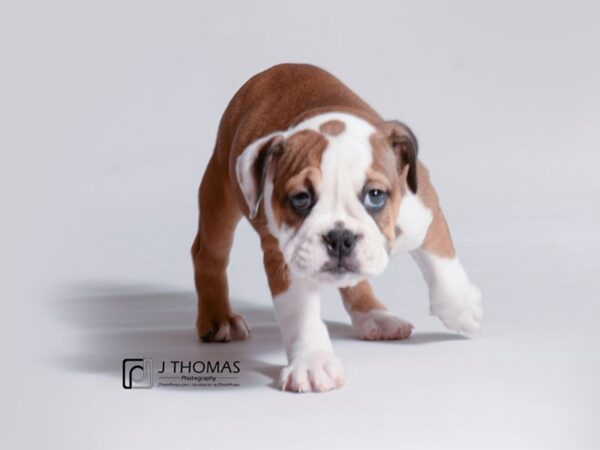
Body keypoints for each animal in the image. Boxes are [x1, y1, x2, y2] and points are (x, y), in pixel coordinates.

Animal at [192, 63, 482, 394]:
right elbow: (300, 314)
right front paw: (312, 363)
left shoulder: (424, 210)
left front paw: (462, 310)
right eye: (301, 199)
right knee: (208, 254)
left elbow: (444, 266)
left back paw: (375, 316)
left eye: (375, 195)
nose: (340, 237)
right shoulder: (284, 260)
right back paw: (219, 319)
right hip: (219, 194)